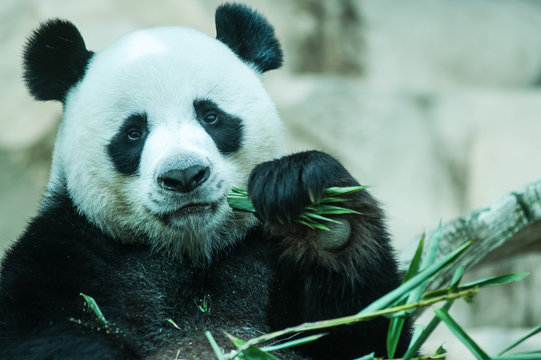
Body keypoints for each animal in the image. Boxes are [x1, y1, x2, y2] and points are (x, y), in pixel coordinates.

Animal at [0, 3, 410, 360]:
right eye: (133, 133)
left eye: (211, 116)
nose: (184, 175)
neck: (194, 253)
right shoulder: (67, 250)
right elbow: (43, 332)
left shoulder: (260, 253)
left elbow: (361, 329)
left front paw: (316, 210)